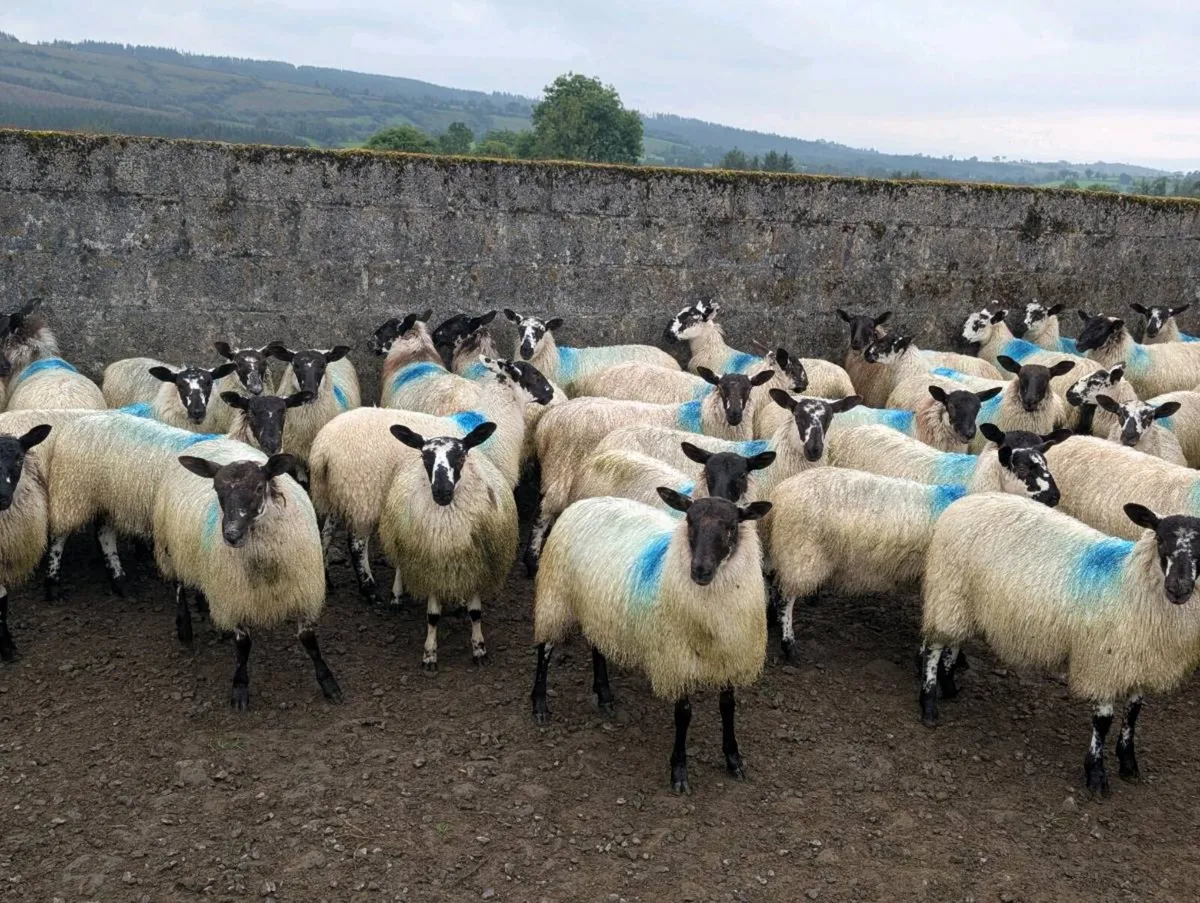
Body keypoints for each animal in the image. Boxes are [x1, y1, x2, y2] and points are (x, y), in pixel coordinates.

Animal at [155, 450, 341, 709]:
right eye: (216, 488)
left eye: (259, 487)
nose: (231, 535)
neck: (265, 564)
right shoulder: (236, 598)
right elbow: (243, 647)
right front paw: (240, 688)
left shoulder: (303, 591)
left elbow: (309, 641)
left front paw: (328, 683)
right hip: (171, 547)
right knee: (178, 585)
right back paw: (184, 627)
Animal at [381, 421, 517, 670]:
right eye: (425, 457)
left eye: (462, 456)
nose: (442, 492)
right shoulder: (433, 568)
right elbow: (433, 616)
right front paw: (429, 654)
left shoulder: (474, 565)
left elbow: (476, 613)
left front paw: (479, 649)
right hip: (398, 536)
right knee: (400, 564)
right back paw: (396, 596)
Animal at [531, 490, 772, 792]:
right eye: (689, 521)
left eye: (731, 527)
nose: (700, 570)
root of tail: (584, 502)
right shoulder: (675, 658)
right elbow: (684, 714)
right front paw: (679, 772)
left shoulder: (731, 654)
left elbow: (728, 707)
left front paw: (734, 759)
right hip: (556, 595)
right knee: (546, 649)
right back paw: (539, 704)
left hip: (599, 606)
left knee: (597, 647)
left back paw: (604, 695)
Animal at [767, 428, 1063, 659]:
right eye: (1022, 468)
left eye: (1047, 462)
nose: (1055, 496)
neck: (974, 494)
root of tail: (782, 491)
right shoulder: (944, 579)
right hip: (800, 551)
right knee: (786, 597)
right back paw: (789, 644)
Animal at [919, 494, 1200, 796]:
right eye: (1160, 539)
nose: (1178, 588)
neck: (1128, 581)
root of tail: (968, 500)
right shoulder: (1102, 661)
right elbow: (1103, 721)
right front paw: (1096, 774)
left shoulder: (1140, 661)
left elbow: (1133, 714)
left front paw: (1128, 763)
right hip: (948, 589)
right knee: (935, 646)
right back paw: (929, 705)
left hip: (963, 600)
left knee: (955, 640)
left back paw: (949, 685)